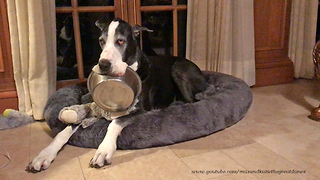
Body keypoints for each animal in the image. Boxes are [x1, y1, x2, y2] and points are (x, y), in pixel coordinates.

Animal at [27, 18, 208, 173]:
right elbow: (64, 131)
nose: (103, 64)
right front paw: (45, 155)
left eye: (120, 41)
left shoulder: (139, 110)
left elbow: (114, 124)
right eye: (101, 41)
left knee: (190, 101)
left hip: (179, 68)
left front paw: (103, 151)